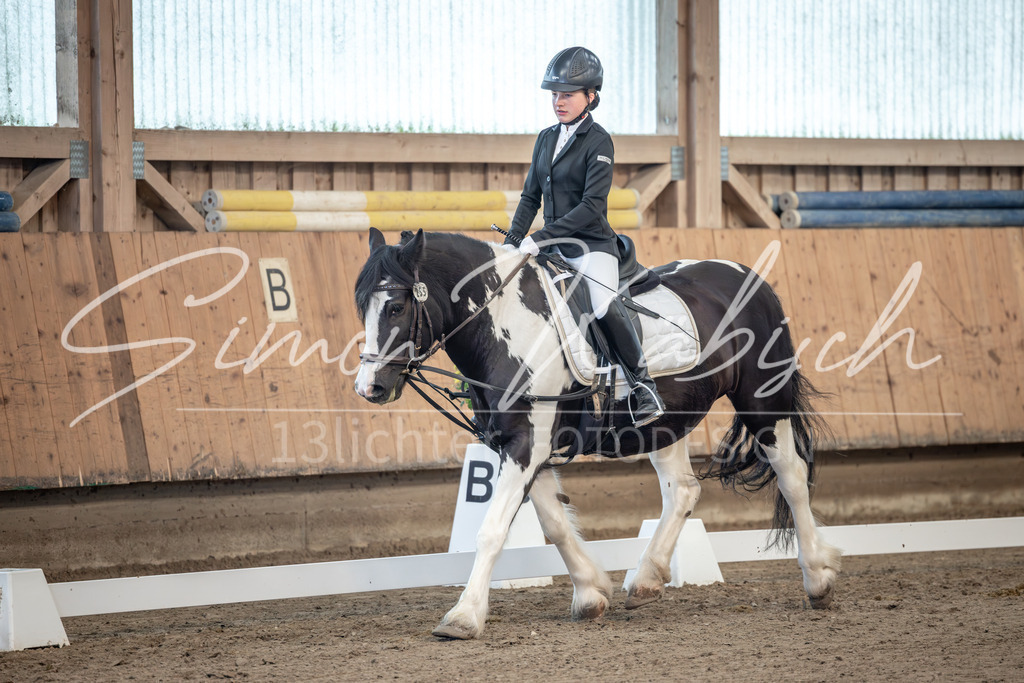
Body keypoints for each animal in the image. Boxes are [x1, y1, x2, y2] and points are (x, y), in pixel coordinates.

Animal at [353, 227, 841, 640]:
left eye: (396, 307)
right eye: (362, 308)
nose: (369, 388)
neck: (508, 324)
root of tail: (749, 276)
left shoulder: (528, 444)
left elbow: (492, 530)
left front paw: (463, 616)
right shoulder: (520, 445)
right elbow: (554, 523)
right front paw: (590, 594)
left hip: (764, 402)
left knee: (792, 477)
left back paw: (818, 579)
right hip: (665, 422)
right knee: (683, 491)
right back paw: (646, 580)